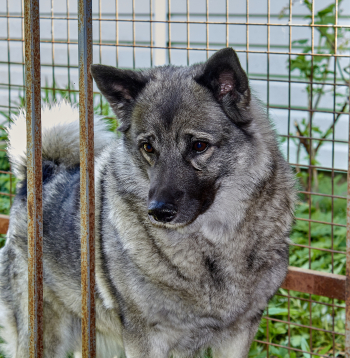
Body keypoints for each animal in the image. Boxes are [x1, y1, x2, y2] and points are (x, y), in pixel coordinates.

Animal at [0, 48, 296, 358]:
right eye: (148, 147)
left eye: (199, 146)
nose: (158, 211)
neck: (209, 248)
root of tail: (42, 173)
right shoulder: (145, 340)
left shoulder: (238, 334)